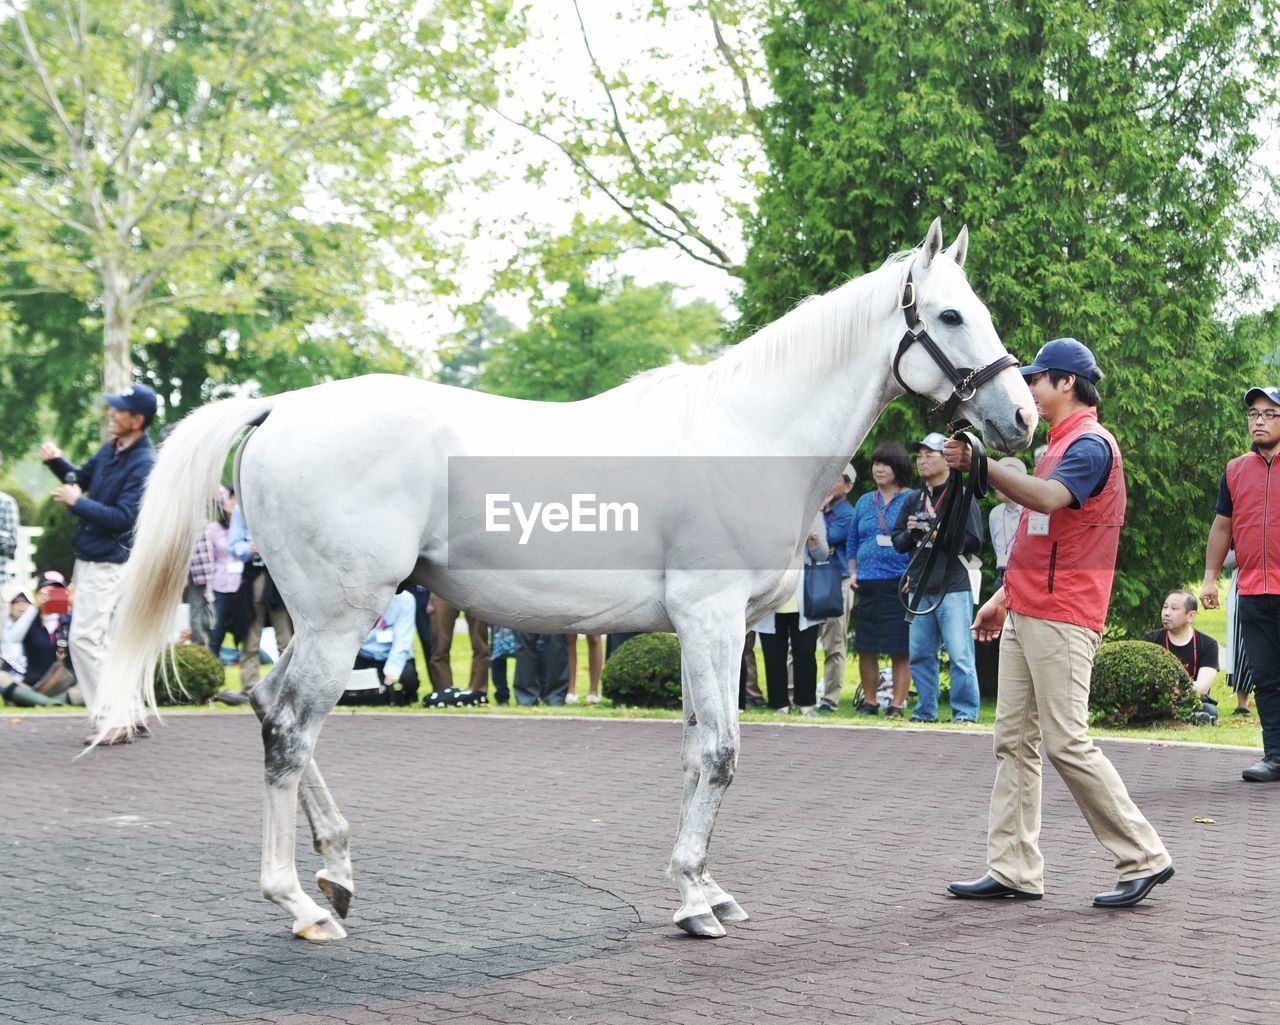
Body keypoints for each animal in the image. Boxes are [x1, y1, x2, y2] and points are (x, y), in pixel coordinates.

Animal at [94, 220, 1034, 941]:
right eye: (950, 314)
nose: (1020, 416)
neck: (746, 430)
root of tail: (281, 406)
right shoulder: (710, 618)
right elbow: (721, 753)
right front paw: (694, 899)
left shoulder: (717, 630)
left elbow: (696, 748)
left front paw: (705, 883)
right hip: (336, 619)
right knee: (289, 728)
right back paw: (299, 901)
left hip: (317, 617)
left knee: (267, 705)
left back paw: (339, 869)